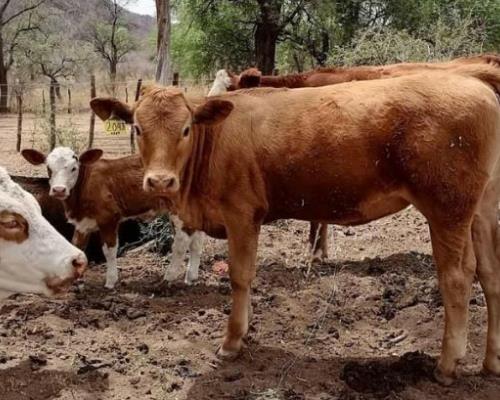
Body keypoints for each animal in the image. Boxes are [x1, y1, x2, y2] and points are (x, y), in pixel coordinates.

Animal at [21, 147, 205, 288]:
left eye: (74, 168)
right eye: (49, 168)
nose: (59, 190)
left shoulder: (108, 218)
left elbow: (109, 251)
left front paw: (110, 281)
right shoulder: (82, 223)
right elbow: (78, 247)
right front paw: (75, 281)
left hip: (178, 210)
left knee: (181, 241)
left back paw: (168, 278)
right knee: (196, 242)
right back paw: (191, 278)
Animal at [90, 65, 500, 384]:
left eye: (186, 129)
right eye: (138, 128)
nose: (160, 181)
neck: (216, 142)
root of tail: (479, 88)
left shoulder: (242, 214)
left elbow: (240, 276)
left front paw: (232, 341)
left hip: (447, 209)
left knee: (457, 277)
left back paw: (447, 365)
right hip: (482, 209)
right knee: (490, 274)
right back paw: (490, 362)